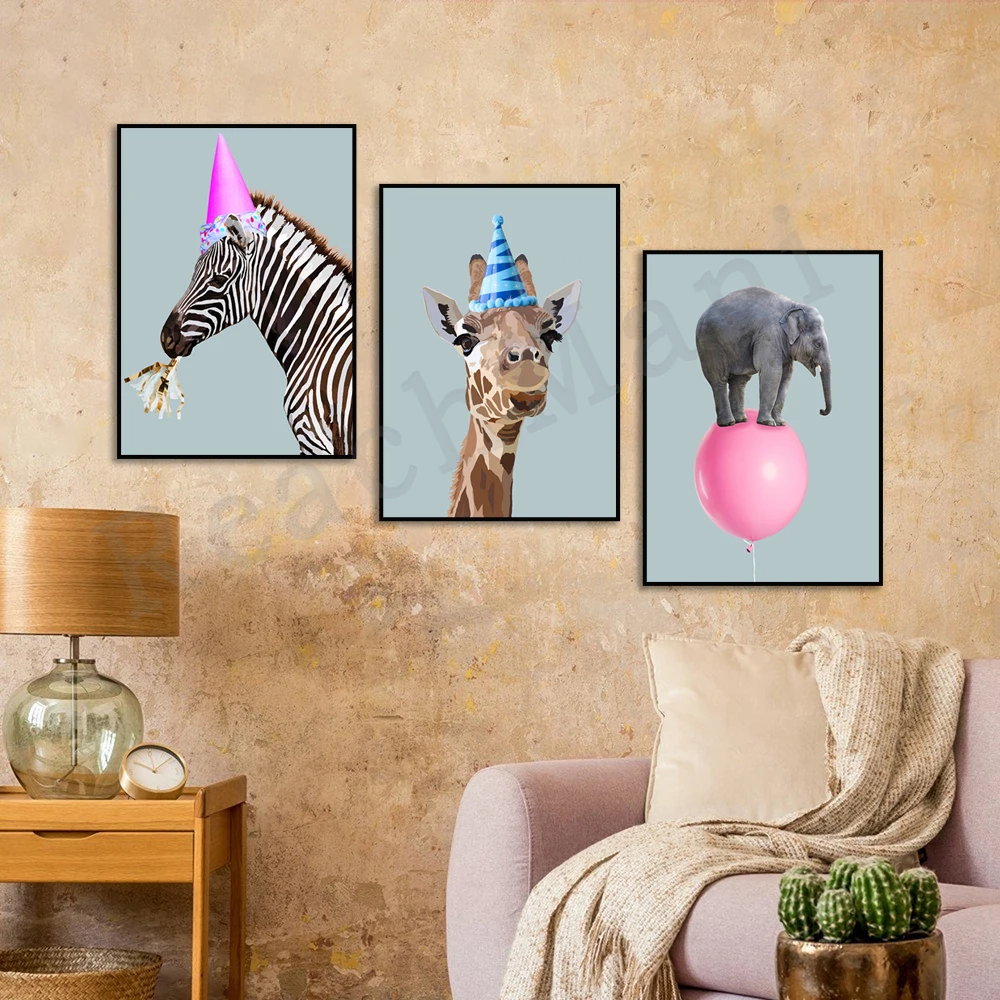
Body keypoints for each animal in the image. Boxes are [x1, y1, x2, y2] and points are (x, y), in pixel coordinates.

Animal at [695, 286, 832, 427]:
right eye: (818, 344)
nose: (821, 411)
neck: (793, 305)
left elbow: (786, 376)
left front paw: (780, 423)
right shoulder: (769, 334)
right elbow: (772, 372)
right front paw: (768, 423)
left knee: (739, 381)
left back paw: (741, 420)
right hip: (710, 343)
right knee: (718, 379)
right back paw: (728, 423)